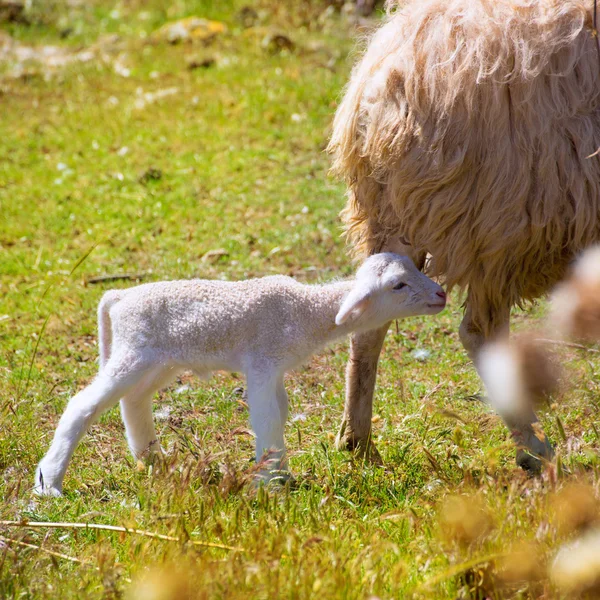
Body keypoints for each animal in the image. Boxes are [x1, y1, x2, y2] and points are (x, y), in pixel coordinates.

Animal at [32, 253, 446, 496]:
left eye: (417, 268)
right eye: (397, 285)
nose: (441, 294)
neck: (304, 312)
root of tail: (117, 297)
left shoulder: (275, 368)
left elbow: (279, 413)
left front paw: (280, 474)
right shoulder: (261, 363)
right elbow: (266, 419)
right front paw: (270, 486)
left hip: (158, 360)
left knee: (134, 400)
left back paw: (153, 460)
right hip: (134, 352)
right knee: (82, 405)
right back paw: (49, 483)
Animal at [326, 0, 600, 472]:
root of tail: (388, 77)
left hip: (396, 214)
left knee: (368, 323)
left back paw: (357, 442)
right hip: (502, 221)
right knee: (480, 332)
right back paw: (533, 447)